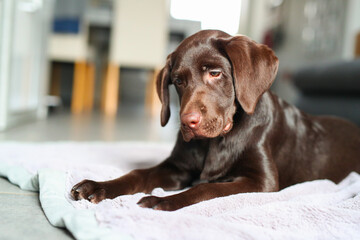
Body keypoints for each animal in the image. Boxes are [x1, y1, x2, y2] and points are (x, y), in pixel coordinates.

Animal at [71, 30, 360, 210]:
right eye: (178, 81)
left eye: (215, 73)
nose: (188, 122)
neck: (217, 141)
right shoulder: (176, 167)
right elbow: (138, 174)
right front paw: (97, 186)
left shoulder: (261, 181)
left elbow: (207, 189)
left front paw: (163, 201)